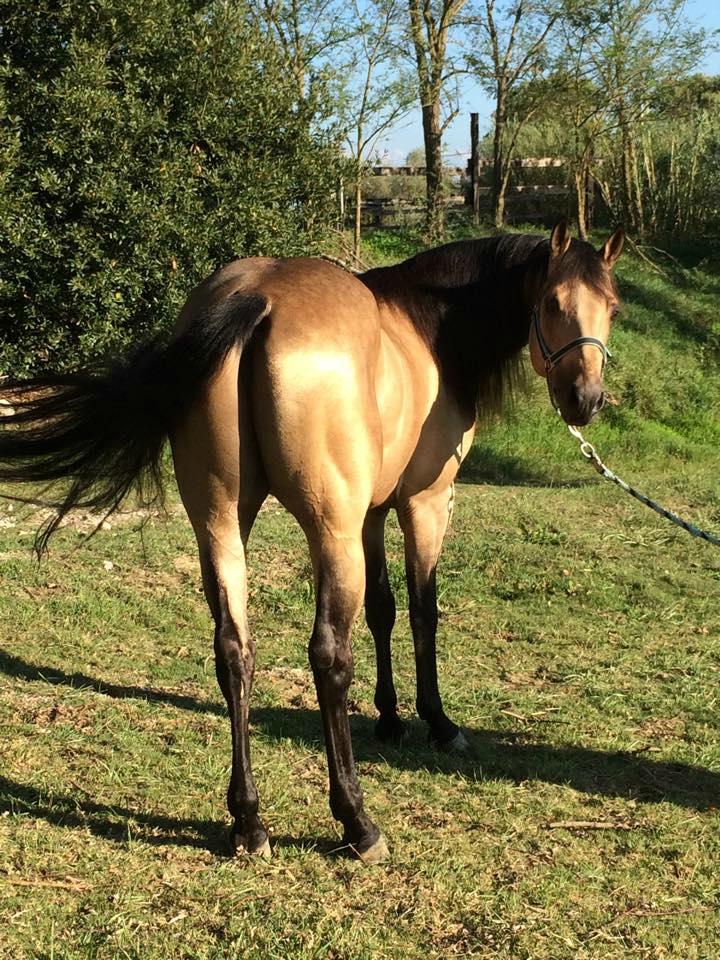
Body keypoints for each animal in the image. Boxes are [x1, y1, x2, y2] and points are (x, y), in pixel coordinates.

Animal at [0, 218, 620, 864]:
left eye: (613, 308)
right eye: (551, 304)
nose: (586, 399)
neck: (427, 328)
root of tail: (257, 298)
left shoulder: (371, 514)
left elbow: (382, 610)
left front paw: (390, 718)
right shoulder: (422, 505)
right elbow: (421, 612)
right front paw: (437, 723)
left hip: (221, 524)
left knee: (233, 651)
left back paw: (249, 822)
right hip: (329, 533)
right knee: (328, 656)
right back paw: (356, 820)